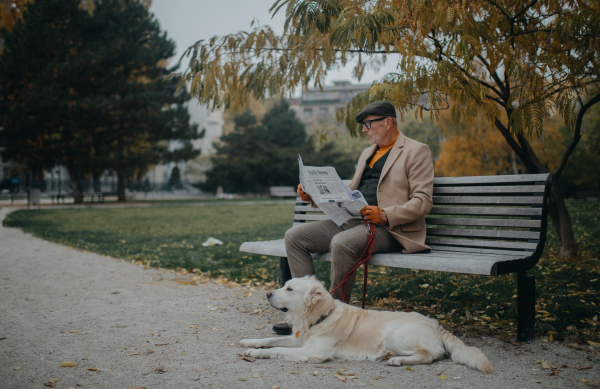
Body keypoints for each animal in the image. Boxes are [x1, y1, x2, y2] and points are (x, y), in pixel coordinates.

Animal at [241, 274, 494, 372]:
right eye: (285, 285)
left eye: (290, 289)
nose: (267, 294)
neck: (319, 318)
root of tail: (435, 323)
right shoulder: (299, 340)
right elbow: (270, 339)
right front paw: (249, 341)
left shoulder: (312, 352)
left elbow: (276, 349)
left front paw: (255, 352)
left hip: (396, 333)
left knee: (430, 356)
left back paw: (397, 360)